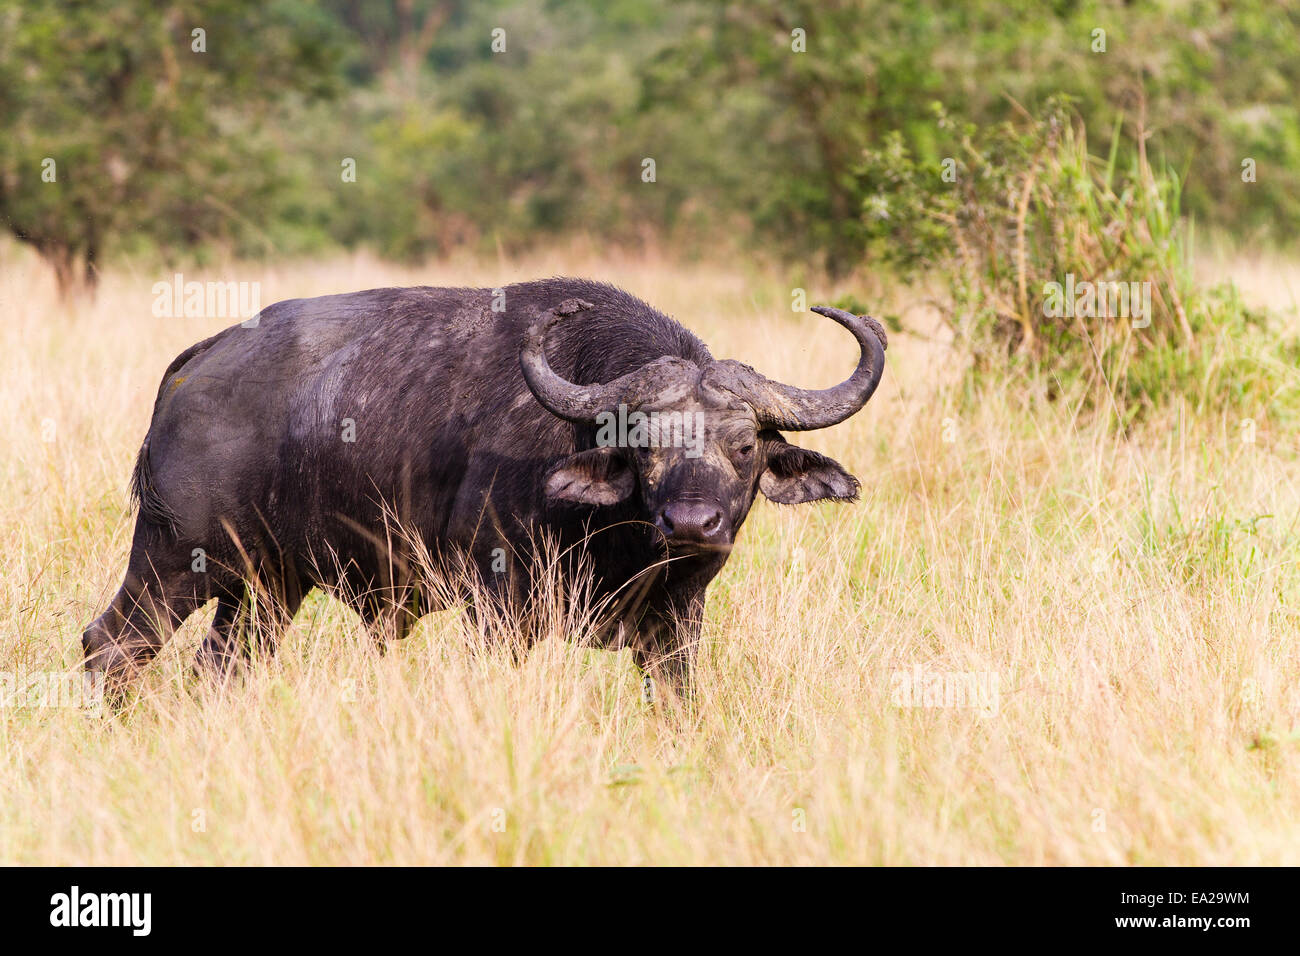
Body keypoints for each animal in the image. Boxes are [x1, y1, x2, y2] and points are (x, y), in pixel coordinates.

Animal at [83, 280, 883, 697]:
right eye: (643, 446)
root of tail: (200, 358)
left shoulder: (676, 625)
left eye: (743, 446)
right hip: (174, 558)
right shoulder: (499, 612)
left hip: (266, 589)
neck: (615, 539)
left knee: (219, 668)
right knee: (112, 644)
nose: (691, 523)